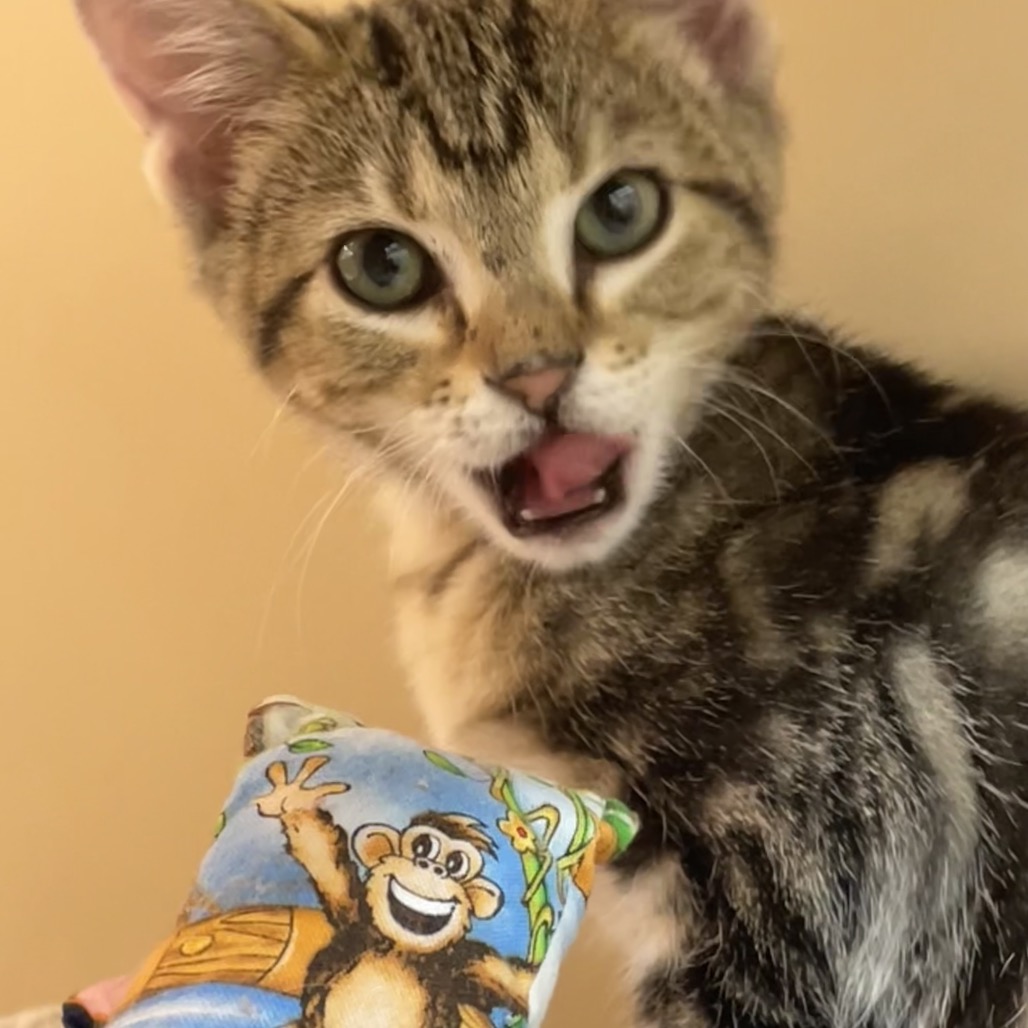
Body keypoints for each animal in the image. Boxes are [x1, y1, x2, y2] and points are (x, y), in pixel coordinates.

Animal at [256, 756, 536, 1028]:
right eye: (423, 846)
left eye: (455, 864)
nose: (432, 867)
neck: (402, 949)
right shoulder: (358, 921)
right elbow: (325, 861)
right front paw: (290, 799)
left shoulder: (468, 965)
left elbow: (513, 981)